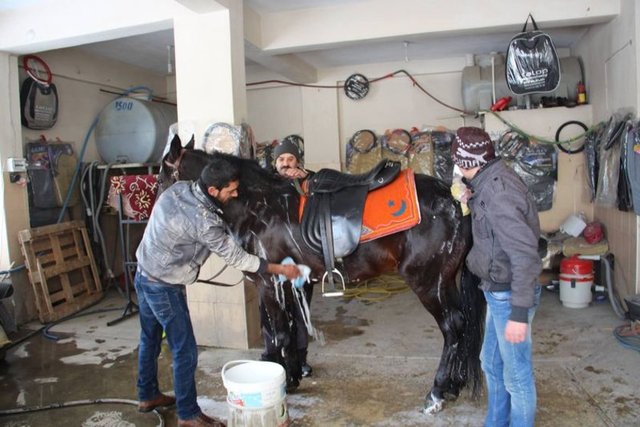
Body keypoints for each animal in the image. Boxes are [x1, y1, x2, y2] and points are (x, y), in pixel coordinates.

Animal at [160, 135, 484, 414]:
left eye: (162, 174)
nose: (158, 212)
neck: (260, 209)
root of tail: (454, 200)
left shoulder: (270, 284)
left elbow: (279, 333)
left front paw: (285, 379)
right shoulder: (292, 283)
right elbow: (292, 330)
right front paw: (292, 374)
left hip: (427, 282)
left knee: (452, 327)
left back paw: (438, 392)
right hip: (445, 280)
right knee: (463, 324)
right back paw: (454, 385)